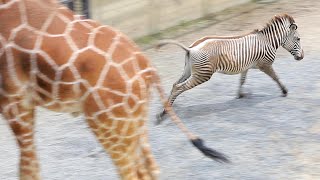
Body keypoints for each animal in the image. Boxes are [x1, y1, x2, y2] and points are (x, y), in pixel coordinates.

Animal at [0, 0, 230, 180]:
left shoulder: (13, 99)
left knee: (131, 172)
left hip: (111, 124)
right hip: (133, 121)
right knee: (149, 169)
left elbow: (29, 168)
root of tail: (147, 67)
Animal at [156, 14, 304, 123]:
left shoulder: (246, 66)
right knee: (178, 87)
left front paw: (240, 94)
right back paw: (163, 114)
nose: (302, 57)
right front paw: (284, 91)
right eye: (298, 38)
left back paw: (164, 110)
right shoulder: (265, 65)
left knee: (174, 85)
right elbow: (276, 77)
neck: (268, 42)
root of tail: (191, 48)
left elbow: (242, 80)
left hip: (189, 71)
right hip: (202, 75)